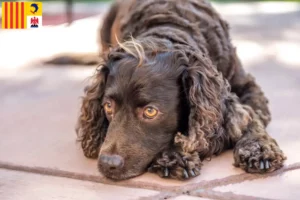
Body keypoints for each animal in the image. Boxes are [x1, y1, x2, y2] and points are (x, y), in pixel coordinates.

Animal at [49, 0, 286, 180]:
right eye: (108, 106)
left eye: (150, 111)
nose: (108, 164)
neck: (169, 27)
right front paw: (175, 156)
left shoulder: (248, 88)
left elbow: (251, 117)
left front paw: (259, 149)